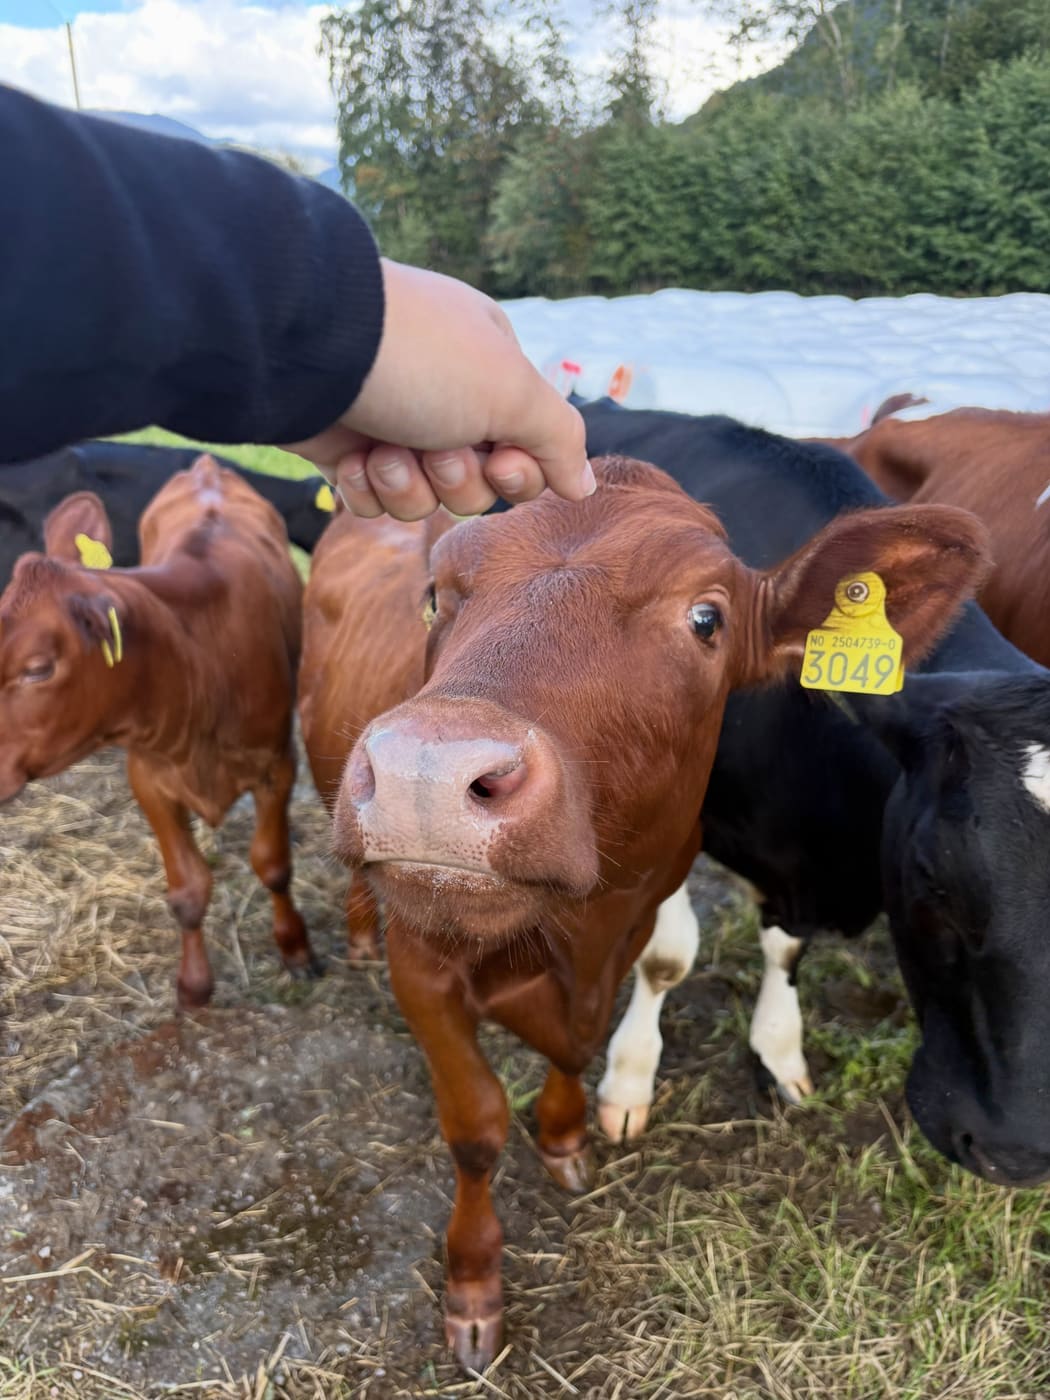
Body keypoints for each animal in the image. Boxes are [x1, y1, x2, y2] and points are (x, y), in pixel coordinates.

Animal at [0, 455, 319, 1008]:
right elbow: (188, 891)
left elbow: (274, 864)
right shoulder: (147, 777)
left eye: (38, 668)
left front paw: (295, 947)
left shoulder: (278, 763)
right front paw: (193, 985)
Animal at [300, 454, 986, 1369]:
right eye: (437, 595)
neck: (577, 933)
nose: (426, 773)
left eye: (706, 617)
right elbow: (476, 1126)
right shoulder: (426, 970)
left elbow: (581, 1049)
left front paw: (564, 1139)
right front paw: (474, 1284)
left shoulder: (636, 921)